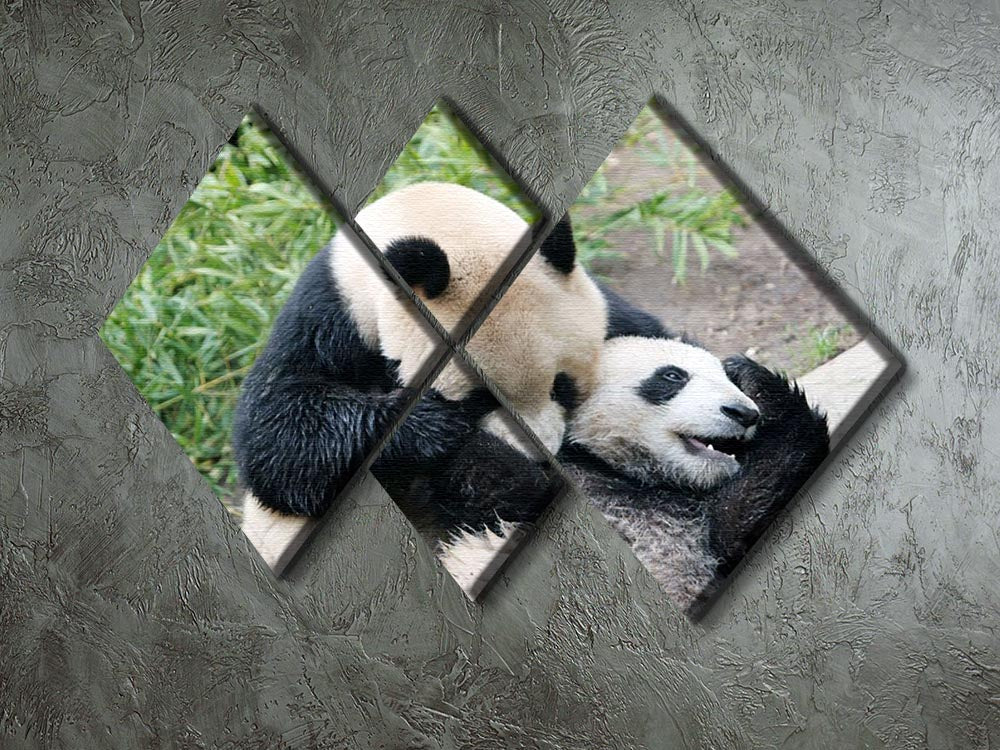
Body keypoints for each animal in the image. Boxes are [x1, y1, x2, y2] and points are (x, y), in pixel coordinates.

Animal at [233, 182, 608, 557]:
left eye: (561, 385)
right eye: (482, 398)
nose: (542, 455)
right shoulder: (329, 314)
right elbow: (277, 430)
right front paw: (431, 426)